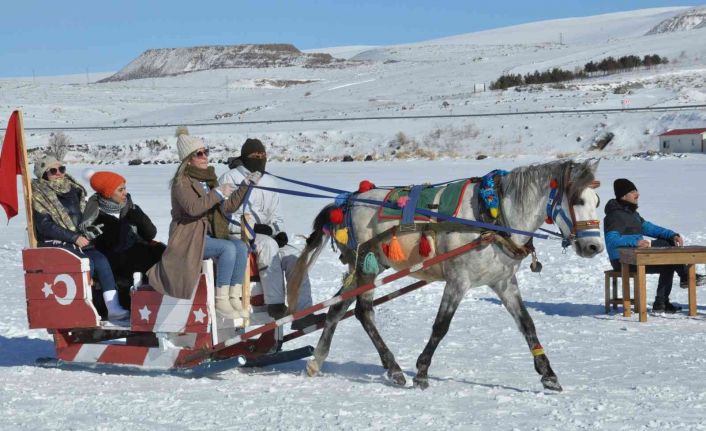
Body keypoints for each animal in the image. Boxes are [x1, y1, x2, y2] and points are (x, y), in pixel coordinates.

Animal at [288, 159, 604, 392]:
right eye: (577, 199)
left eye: (597, 200)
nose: (594, 247)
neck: (493, 216)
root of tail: (347, 202)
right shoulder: (458, 281)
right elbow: (441, 326)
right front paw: (422, 372)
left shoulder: (503, 282)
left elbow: (527, 324)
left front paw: (548, 374)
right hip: (366, 267)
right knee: (355, 310)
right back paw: (373, 366)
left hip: (367, 267)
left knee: (346, 309)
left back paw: (340, 363)